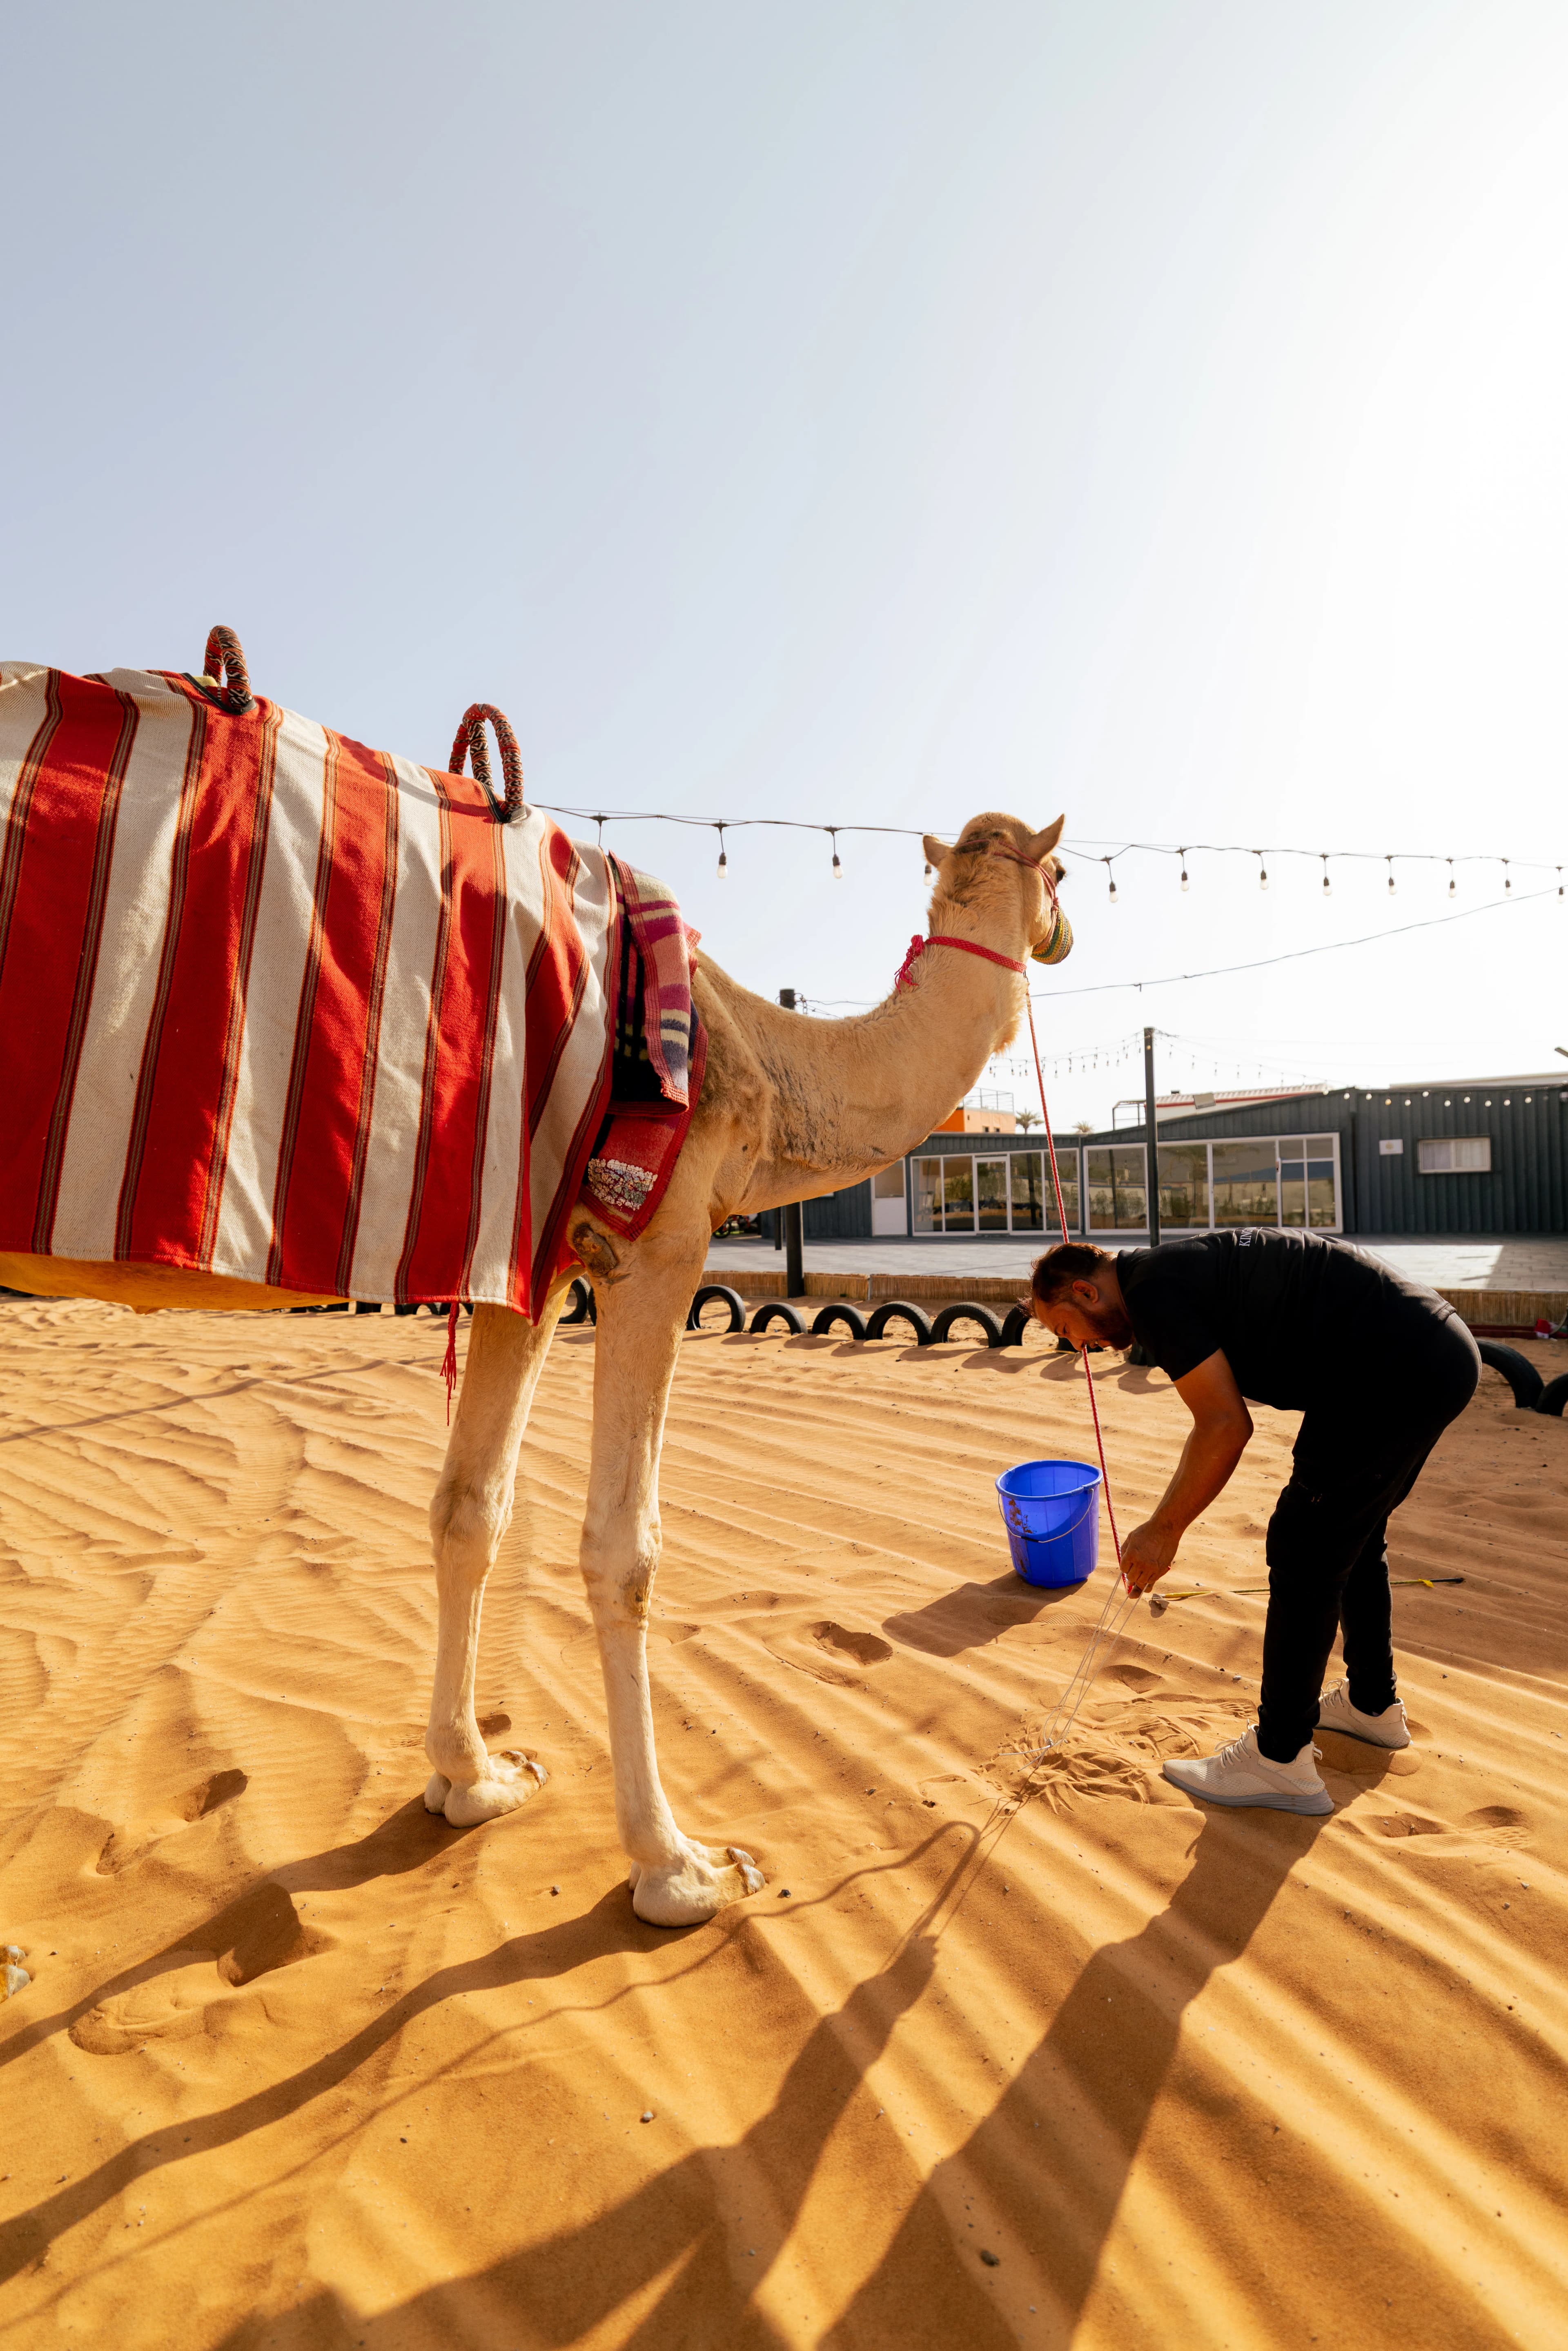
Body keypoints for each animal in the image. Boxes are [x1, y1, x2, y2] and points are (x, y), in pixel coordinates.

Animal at [2, 809, 1067, 1925]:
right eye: (1063, 875)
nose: (1062, 935)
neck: (762, 1060)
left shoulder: (533, 1265)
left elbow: (470, 1508)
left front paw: (471, 1778)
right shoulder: (658, 1239)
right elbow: (622, 1548)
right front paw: (673, 1864)